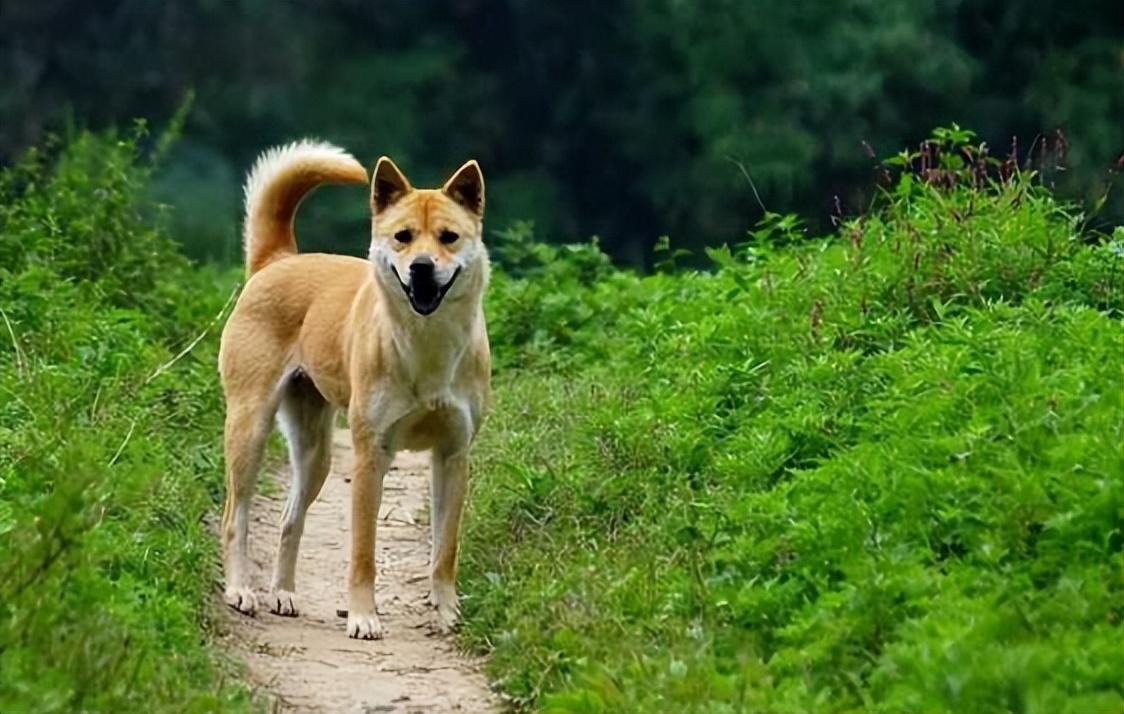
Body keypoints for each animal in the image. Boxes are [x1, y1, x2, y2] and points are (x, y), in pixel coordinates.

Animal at [216, 142, 490, 638]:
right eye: (402, 237)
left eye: (449, 237)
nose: (421, 268)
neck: (427, 345)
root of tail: (279, 259)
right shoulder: (370, 456)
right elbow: (363, 552)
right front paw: (363, 616)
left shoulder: (453, 456)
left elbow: (445, 550)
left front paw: (446, 612)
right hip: (249, 428)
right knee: (234, 516)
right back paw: (241, 590)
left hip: (316, 453)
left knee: (289, 520)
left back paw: (283, 594)